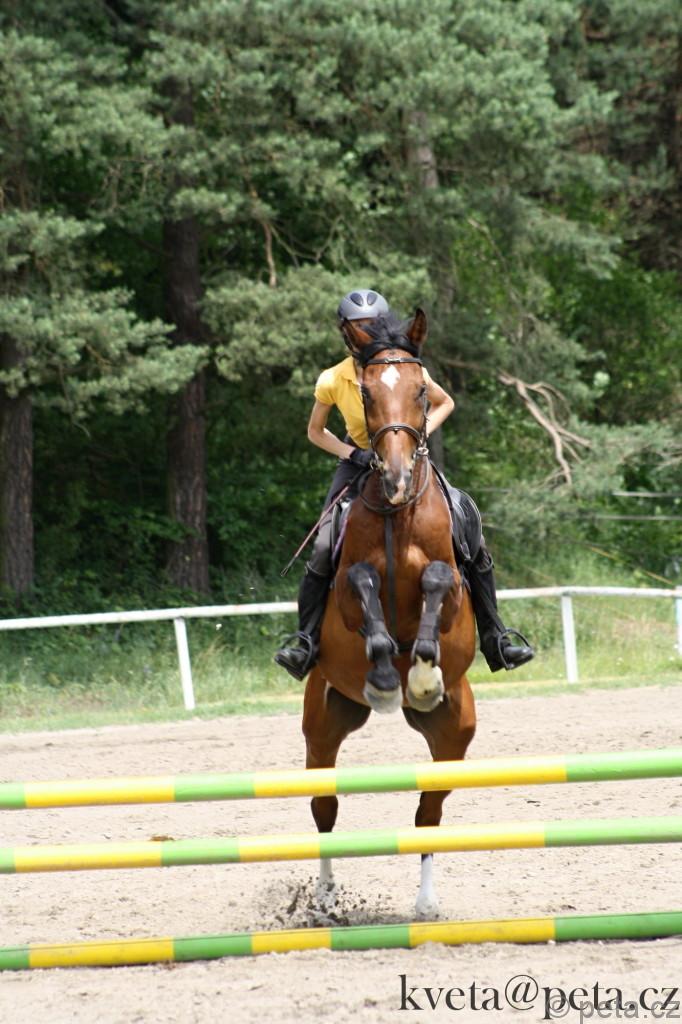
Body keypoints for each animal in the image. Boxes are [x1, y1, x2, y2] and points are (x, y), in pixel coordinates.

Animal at [301, 308, 477, 917]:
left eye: (422, 391)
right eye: (367, 394)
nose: (398, 479)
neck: (397, 513)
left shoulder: (450, 588)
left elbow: (437, 582)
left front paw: (421, 675)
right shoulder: (349, 588)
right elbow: (362, 587)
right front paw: (384, 676)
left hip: (454, 734)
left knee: (429, 814)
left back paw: (425, 904)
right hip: (322, 725)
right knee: (324, 811)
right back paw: (325, 899)